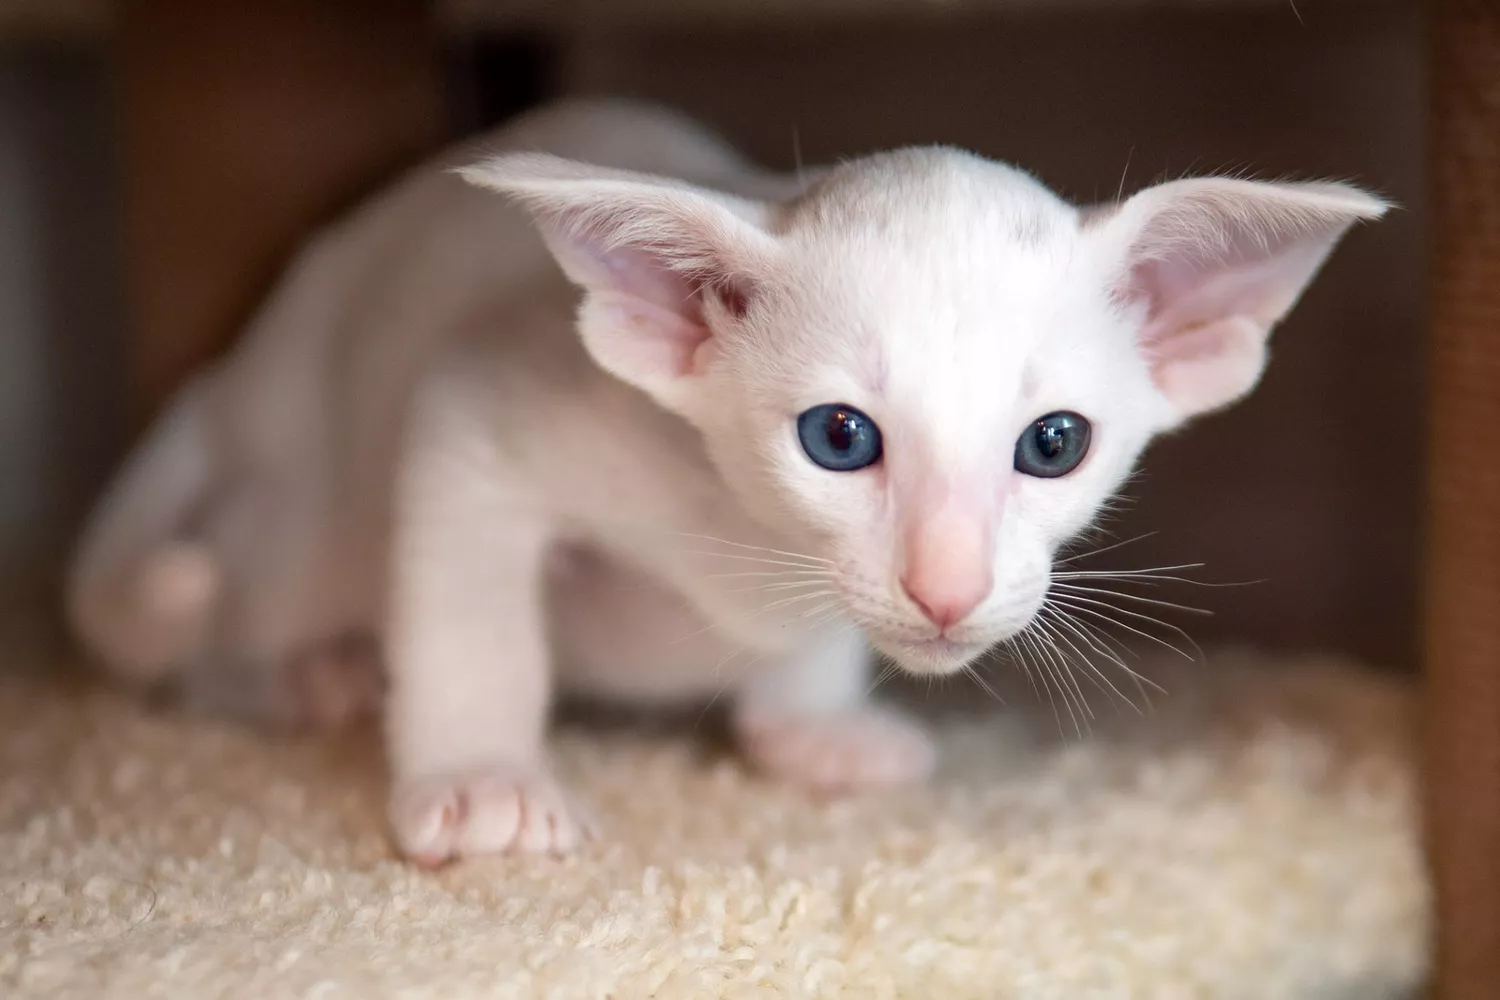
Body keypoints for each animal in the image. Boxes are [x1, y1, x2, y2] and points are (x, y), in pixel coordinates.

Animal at [64, 101, 1386, 869]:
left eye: (1054, 444)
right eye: (841, 438)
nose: (947, 589)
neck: (745, 546)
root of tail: (244, 364)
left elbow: (817, 647)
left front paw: (810, 725)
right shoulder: (475, 409)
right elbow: (475, 622)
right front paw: (482, 779)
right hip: (313, 507)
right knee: (217, 619)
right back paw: (303, 677)